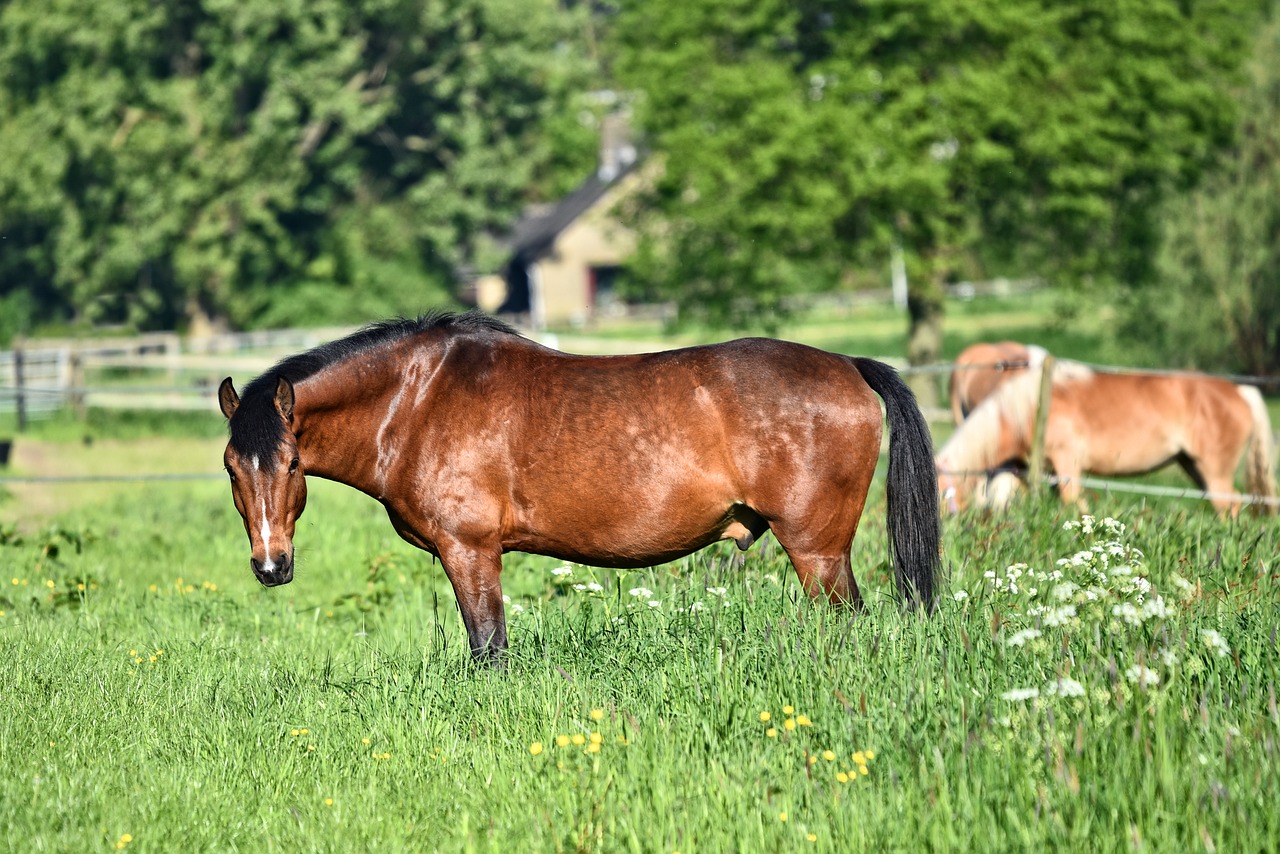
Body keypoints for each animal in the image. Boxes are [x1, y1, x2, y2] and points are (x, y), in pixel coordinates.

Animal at [217, 311, 942, 665]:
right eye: (231, 466)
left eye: (290, 463)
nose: (271, 565)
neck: (417, 398)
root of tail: (847, 364)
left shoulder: (471, 551)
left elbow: (489, 649)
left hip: (817, 550)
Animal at [931, 358, 1280, 514]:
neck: (1026, 409)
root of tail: (1241, 391)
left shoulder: (1067, 465)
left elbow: (1074, 503)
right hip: (1194, 468)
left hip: (1215, 472)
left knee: (1230, 508)